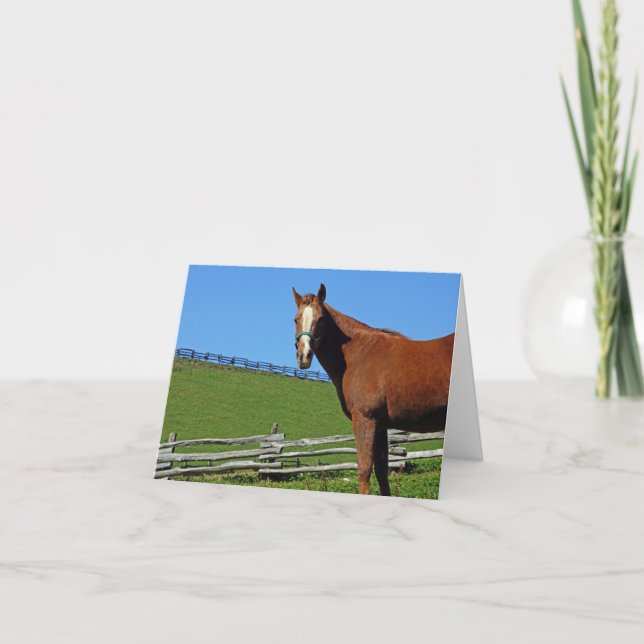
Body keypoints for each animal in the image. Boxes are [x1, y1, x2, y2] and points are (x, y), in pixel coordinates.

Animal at [292, 283, 454, 496]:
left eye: (320, 319)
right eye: (296, 319)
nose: (304, 355)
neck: (359, 354)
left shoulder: (365, 419)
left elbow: (364, 469)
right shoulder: (381, 425)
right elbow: (381, 472)